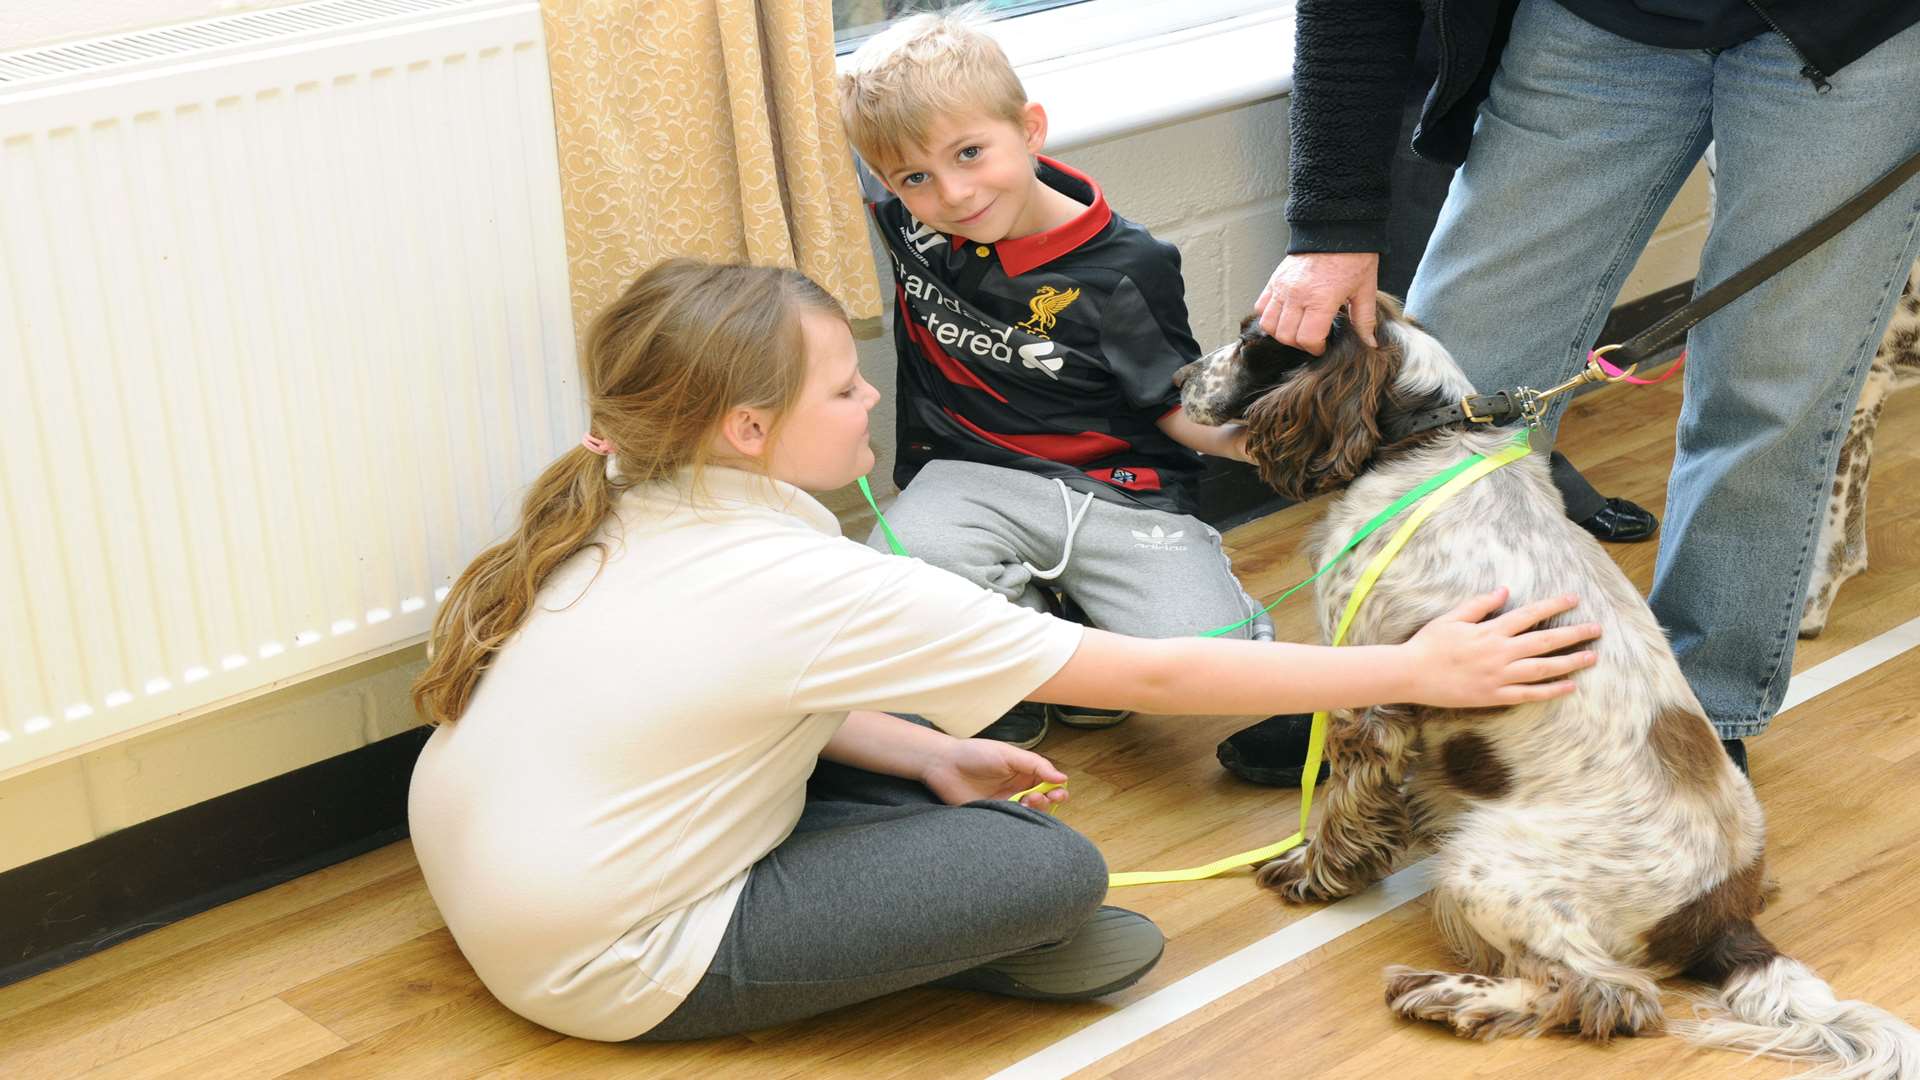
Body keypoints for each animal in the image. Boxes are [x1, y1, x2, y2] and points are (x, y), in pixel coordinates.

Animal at [1175, 290, 1920, 1068]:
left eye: (1252, 339)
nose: (1178, 379)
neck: (1422, 444)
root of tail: (1723, 920)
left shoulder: (1374, 697)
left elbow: (1341, 809)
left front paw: (1310, 873)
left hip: (1485, 865)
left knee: (1606, 992)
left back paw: (1452, 995)